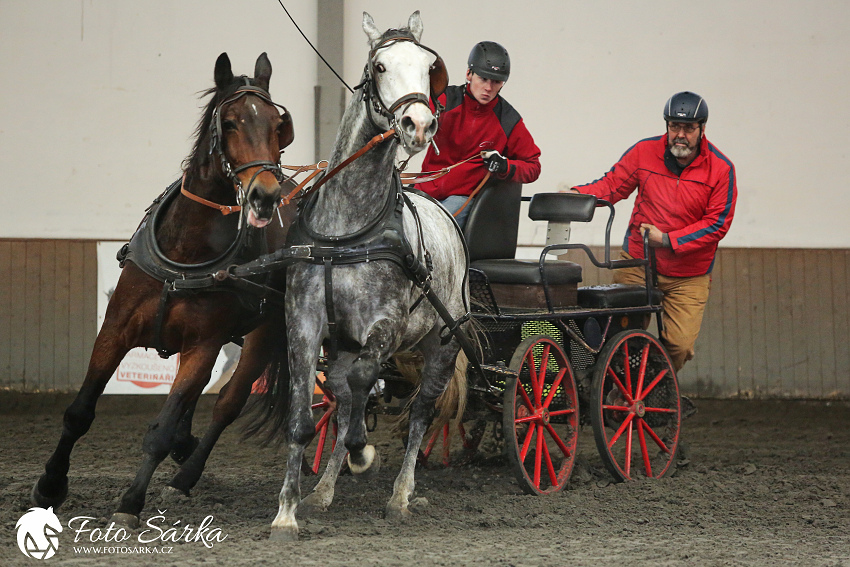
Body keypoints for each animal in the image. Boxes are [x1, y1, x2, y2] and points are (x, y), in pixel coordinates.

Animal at [31, 51, 296, 532]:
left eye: (275, 124)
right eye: (230, 122)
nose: (264, 195)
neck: (186, 251)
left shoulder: (203, 345)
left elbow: (161, 429)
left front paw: (130, 501)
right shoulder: (114, 330)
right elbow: (79, 413)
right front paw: (51, 485)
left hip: (265, 332)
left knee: (227, 404)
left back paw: (186, 474)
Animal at [266, 11, 468, 540]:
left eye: (429, 67)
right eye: (379, 66)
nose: (419, 124)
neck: (346, 230)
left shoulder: (386, 325)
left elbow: (363, 384)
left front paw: (364, 452)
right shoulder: (304, 323)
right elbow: (308, 413)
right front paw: (287, 511)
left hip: (443, 341)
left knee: (420, 411)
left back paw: (400, 494)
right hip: (344, 342)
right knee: (342, 395)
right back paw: (323, 491)